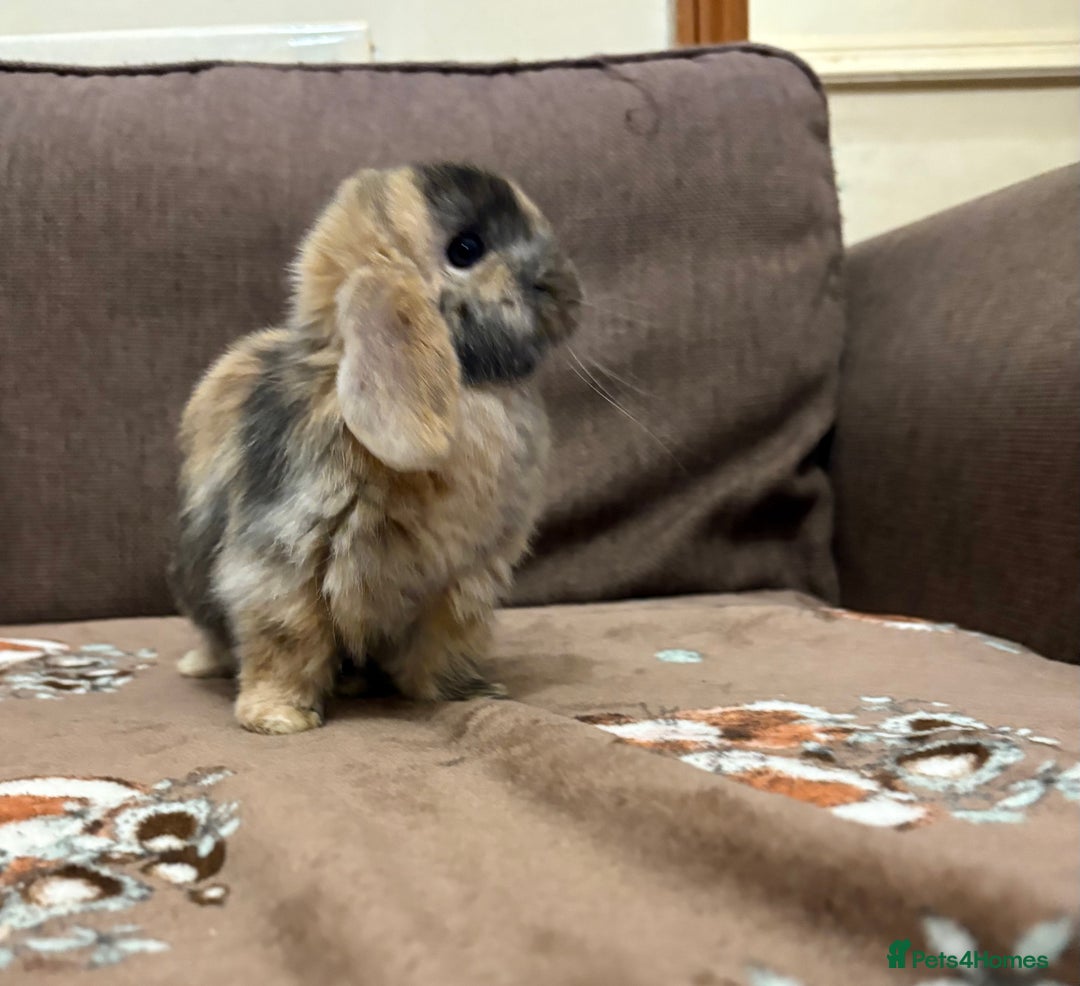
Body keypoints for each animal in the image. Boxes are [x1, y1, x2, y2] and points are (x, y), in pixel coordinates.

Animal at [169, 162, 581, 734]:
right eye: (466, 248)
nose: (566, 290)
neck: (471, 391)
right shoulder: (279, 565)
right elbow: (285, 641)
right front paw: (278, 718)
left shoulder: (463, 582)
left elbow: (446, 645)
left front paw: (469, 694)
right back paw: (203, 667)